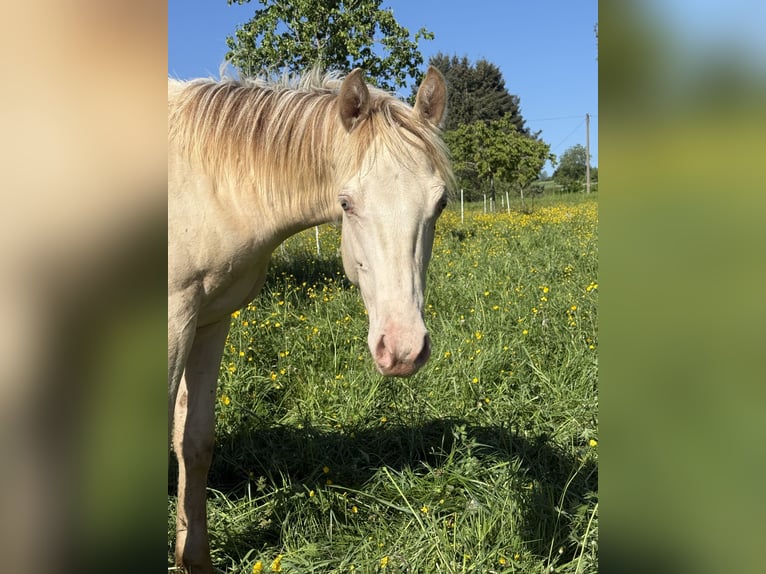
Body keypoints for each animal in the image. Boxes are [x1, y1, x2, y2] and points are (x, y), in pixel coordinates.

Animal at [168, 66, 452, 573]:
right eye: (346, 203)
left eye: (439, 204)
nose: (402, 348)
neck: (205, 184)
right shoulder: (172, 315)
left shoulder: (207, 320)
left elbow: (194, 439)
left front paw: (195, 559)